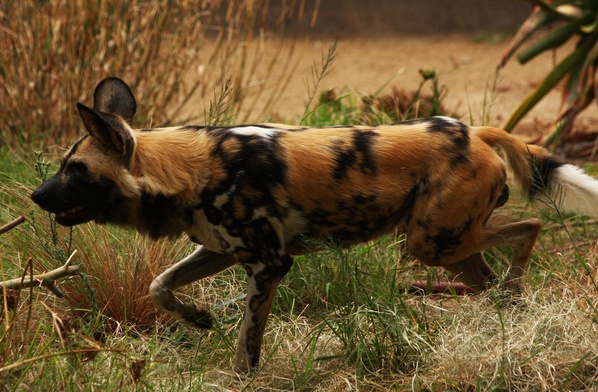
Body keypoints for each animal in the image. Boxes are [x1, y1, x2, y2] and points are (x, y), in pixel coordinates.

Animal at [30, 77, 598, 374]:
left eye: (75, 169)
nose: (36, 196)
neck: (187, 169)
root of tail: (475, 131)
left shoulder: (269, 263)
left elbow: (247, 340)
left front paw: (241, 375)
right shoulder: (221, 250)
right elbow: (158, 285)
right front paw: (199, 318)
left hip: (430, 243)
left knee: (529, 226)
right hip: (447, 245)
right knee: (501, 277)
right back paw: (517, 320)